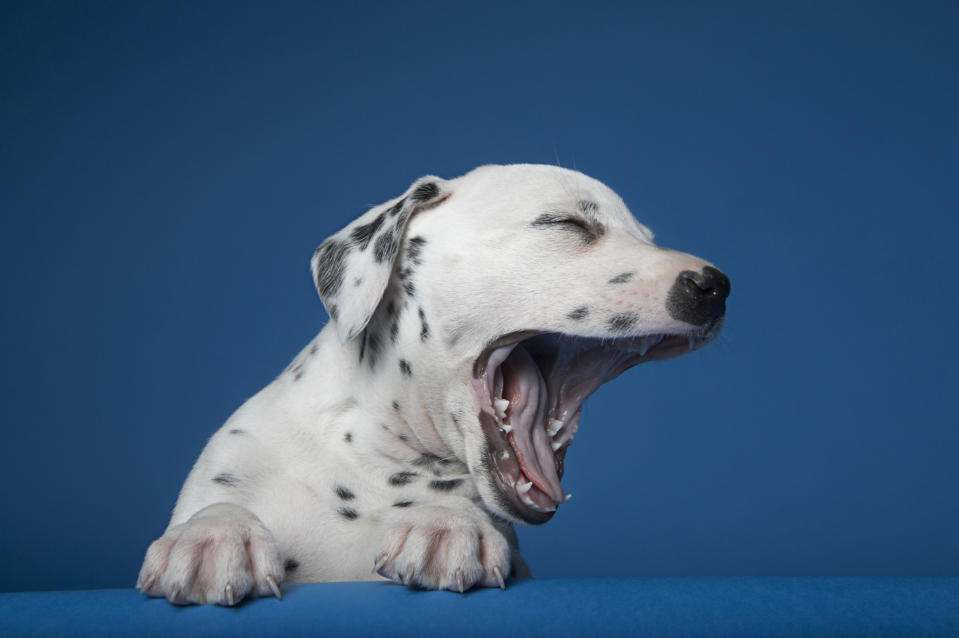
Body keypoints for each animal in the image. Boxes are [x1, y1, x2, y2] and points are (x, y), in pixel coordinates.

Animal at [139, 164, 732, 604]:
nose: (716, 286)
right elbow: (218, 505)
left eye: (646, 238)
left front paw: (447, 525)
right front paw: (211, 534)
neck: (374, 460)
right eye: (566, 223)